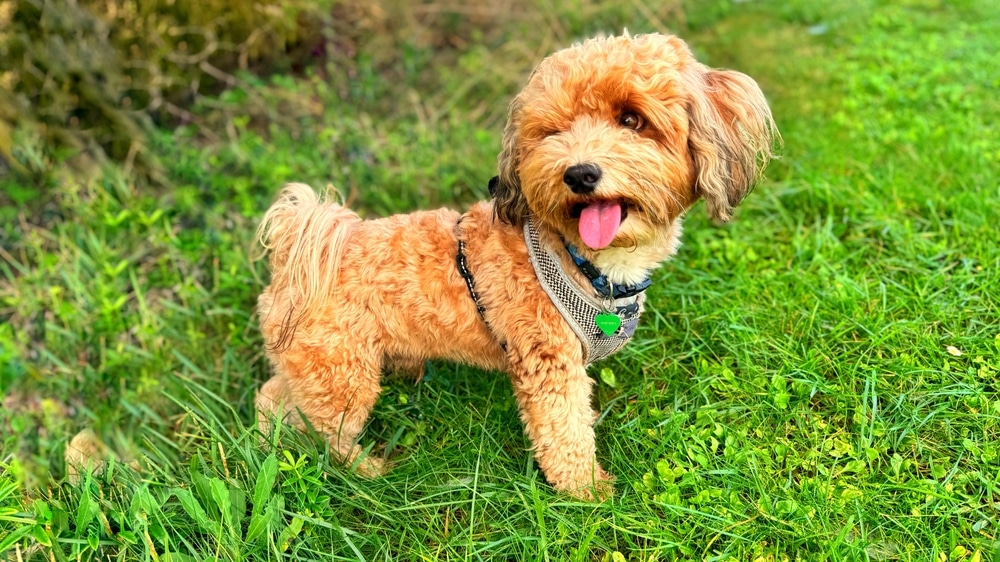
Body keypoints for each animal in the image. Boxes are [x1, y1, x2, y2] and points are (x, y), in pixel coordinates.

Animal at [254, 32, 776, 496]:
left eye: (632, 119)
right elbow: (565, 431)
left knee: (274, 398)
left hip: (317, 367)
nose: (579, 174)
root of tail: (294, 254)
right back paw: (364, 469)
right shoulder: (549, 361)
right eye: (553, 131)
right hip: (344, 374)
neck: (580, 257)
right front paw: (586, 491)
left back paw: (265, 445)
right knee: (327, 430)